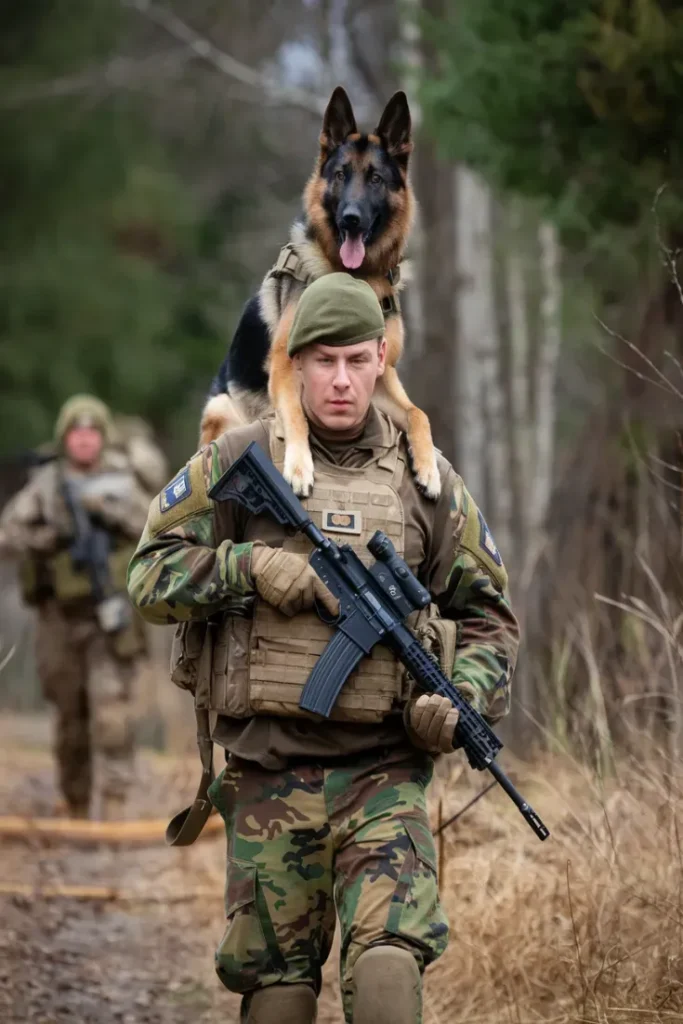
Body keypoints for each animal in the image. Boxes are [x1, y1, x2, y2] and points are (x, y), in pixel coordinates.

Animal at [200, 82, 440, 495]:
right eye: (341, 175)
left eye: (375, 179)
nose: (351, 219)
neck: (355, 279)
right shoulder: (282, 367)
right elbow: (295, 413)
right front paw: (299, 466)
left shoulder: (380, 376)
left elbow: (417, 412)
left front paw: (428, 466)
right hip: (221, 409)